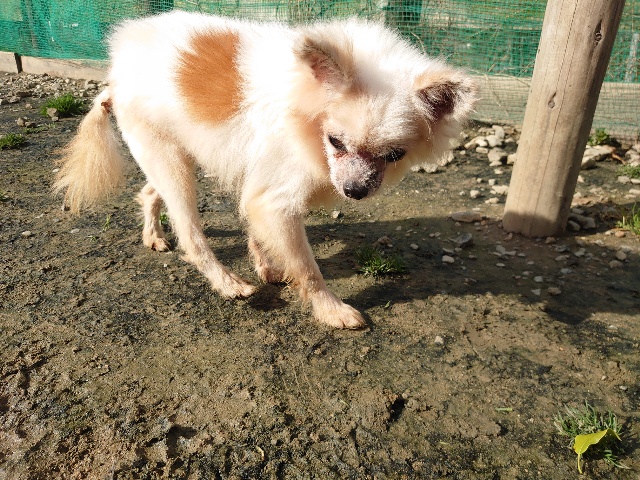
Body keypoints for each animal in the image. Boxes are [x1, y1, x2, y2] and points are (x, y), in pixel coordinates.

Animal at [54, 11, 476, 329]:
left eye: (393, 155)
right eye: (336, 142)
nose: (354, 190)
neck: (306, 113)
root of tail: (115, 69)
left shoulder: (261, 186)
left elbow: (255, 227)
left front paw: (267, 264)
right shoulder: (277, 199)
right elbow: (307, 268)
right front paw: (331, 310)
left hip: (176, 154)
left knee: (148, 191)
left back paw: (153, 236)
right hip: (170, 162)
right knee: (190, 233)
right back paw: (227, 283)